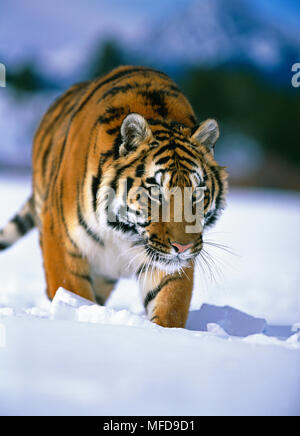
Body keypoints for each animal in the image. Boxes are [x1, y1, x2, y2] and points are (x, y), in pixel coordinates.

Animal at [0, 65, 227, 328]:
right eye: (156, 191)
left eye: (197, 192)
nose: (183, 246)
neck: (123, 231)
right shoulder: (61, 242)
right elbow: (71, 293)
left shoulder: (169, 264)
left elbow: (170, 305)